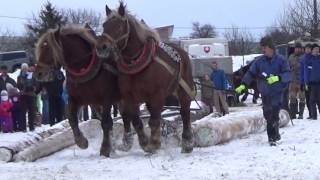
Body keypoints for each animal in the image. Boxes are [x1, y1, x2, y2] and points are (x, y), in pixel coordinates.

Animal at [33, 24, 120, 157]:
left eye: (49, 49)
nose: (38, 74)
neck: (83, 67)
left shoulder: (107, 98)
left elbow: (105, 122)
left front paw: (105, 148)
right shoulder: (76, 99)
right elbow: (72, 119)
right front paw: (81, 141)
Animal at [95, 2, 195, 153]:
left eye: (119, 26)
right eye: (104, 25)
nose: (102, 47)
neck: (137, 62)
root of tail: (182, 52)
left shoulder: (157, 95)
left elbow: (153, 120)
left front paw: (153, 143)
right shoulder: (129, 97)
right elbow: (136, 120)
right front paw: (144, 142)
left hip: (183, 90)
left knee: (184, 113)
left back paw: (187, 142)